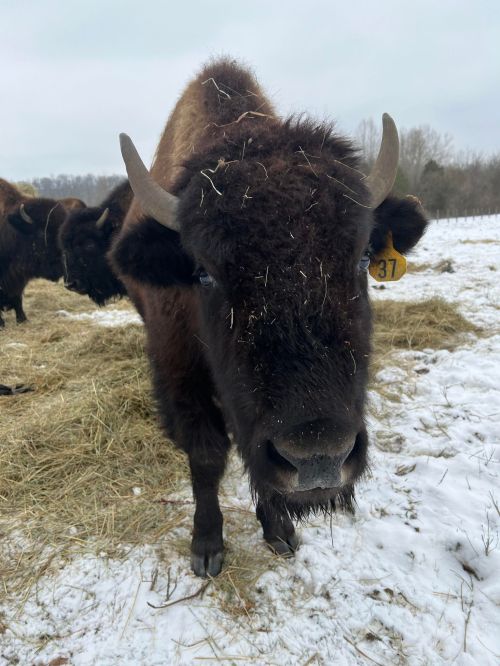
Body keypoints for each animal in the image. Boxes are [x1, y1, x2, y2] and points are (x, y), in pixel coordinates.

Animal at [110, 59, 428, 576]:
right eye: (204, 272)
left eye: (363, 256)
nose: (318, 457)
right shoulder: (180, 374)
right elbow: (207, 456)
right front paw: (207, 547)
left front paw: (278, 530)